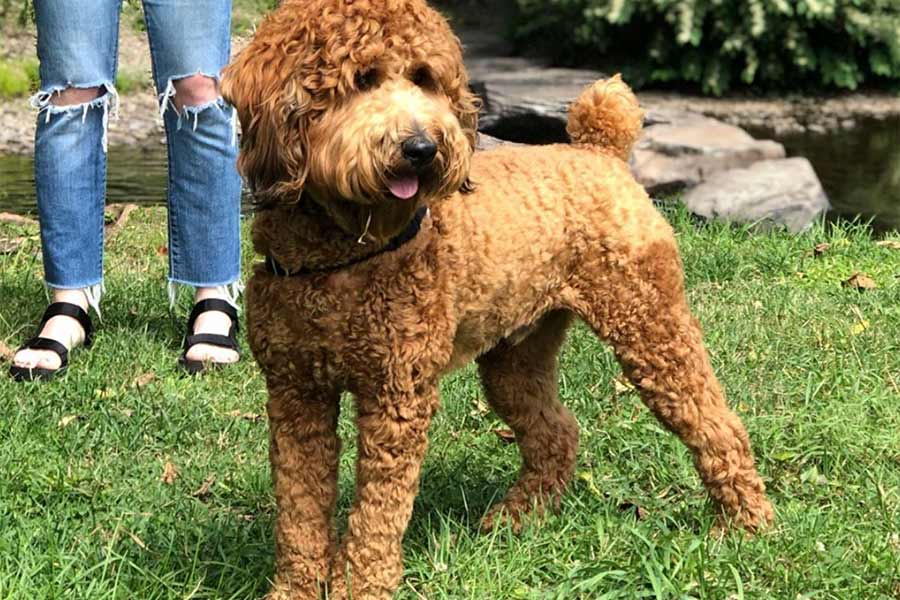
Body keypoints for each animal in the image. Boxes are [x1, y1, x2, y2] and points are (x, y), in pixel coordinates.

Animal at [221, 1, 774, 597]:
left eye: (424, 77)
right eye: (361, 79)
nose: (422, 148)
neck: (345, 254)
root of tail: (598, 150)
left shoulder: (396, 399)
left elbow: (376, 517)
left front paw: (360, 586)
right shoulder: (295, 394)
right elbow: (299, 512)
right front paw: (295, 589)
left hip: (651, 327)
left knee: (716, 423)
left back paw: (747, 523)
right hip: (517, 357)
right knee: (557, 432)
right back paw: (518, 517)